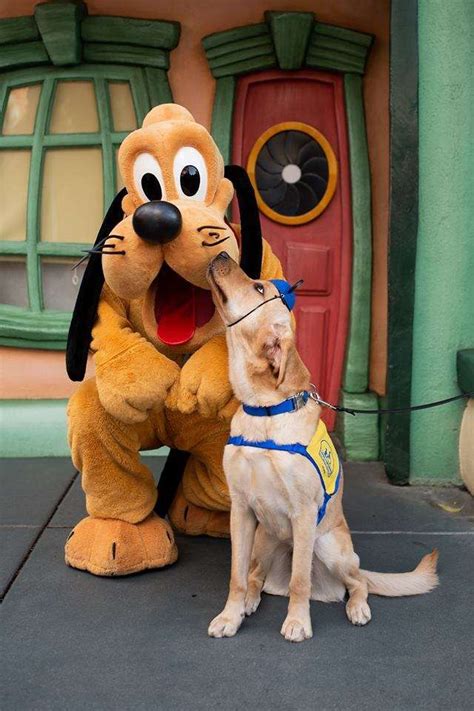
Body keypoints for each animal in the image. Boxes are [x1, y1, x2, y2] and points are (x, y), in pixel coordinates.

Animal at [206, 254, 438, 644]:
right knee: (254, 576)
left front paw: (298, 622)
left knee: (357, 583)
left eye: (258, 287)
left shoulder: (303, 513)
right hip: (265, 539)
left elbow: (300, 581)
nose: (222, 255)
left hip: (331, 548)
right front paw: (230, 616)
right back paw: (251, 600)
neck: (265, 412)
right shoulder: (241, 510)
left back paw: (357, 608)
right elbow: (236, 577)